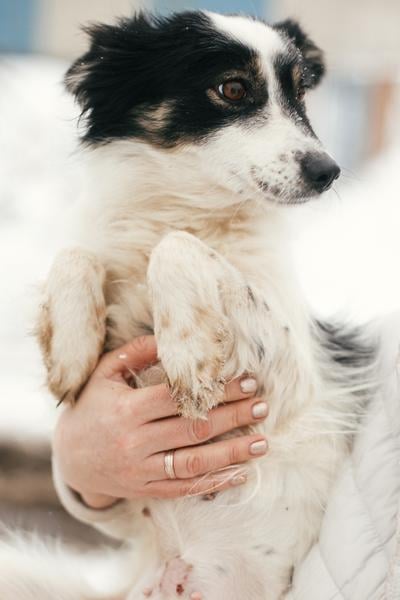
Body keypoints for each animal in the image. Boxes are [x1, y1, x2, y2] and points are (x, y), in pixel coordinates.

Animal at [15, 9, 374, 600]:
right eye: (232, 88)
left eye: (301, 93)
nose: (328, 171)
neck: (185, 207)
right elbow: (77, 251)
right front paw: (70, 350)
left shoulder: (294, 378)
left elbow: (176, 248)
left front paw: (187, 354)